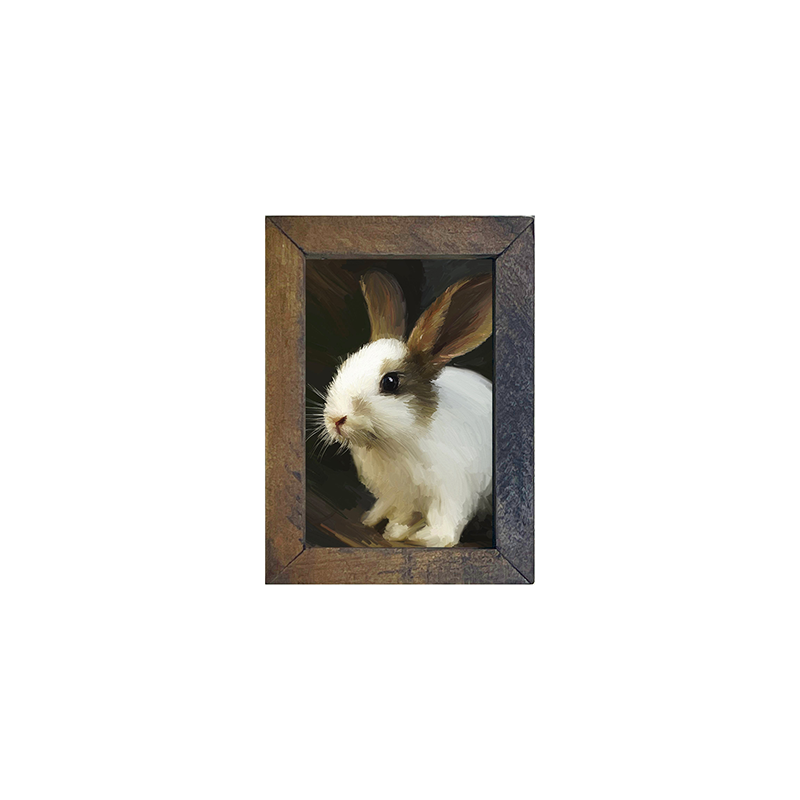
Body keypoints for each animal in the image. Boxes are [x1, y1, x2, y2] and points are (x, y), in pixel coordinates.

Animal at [319, 269, 493, 548]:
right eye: (345, 365)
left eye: (390, 382)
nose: (336, 419)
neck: (394, 443)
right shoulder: (398, 495)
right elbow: (402, 514)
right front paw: (394, 530)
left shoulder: (452, 491)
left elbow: (446, 522)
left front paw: (428, 538)